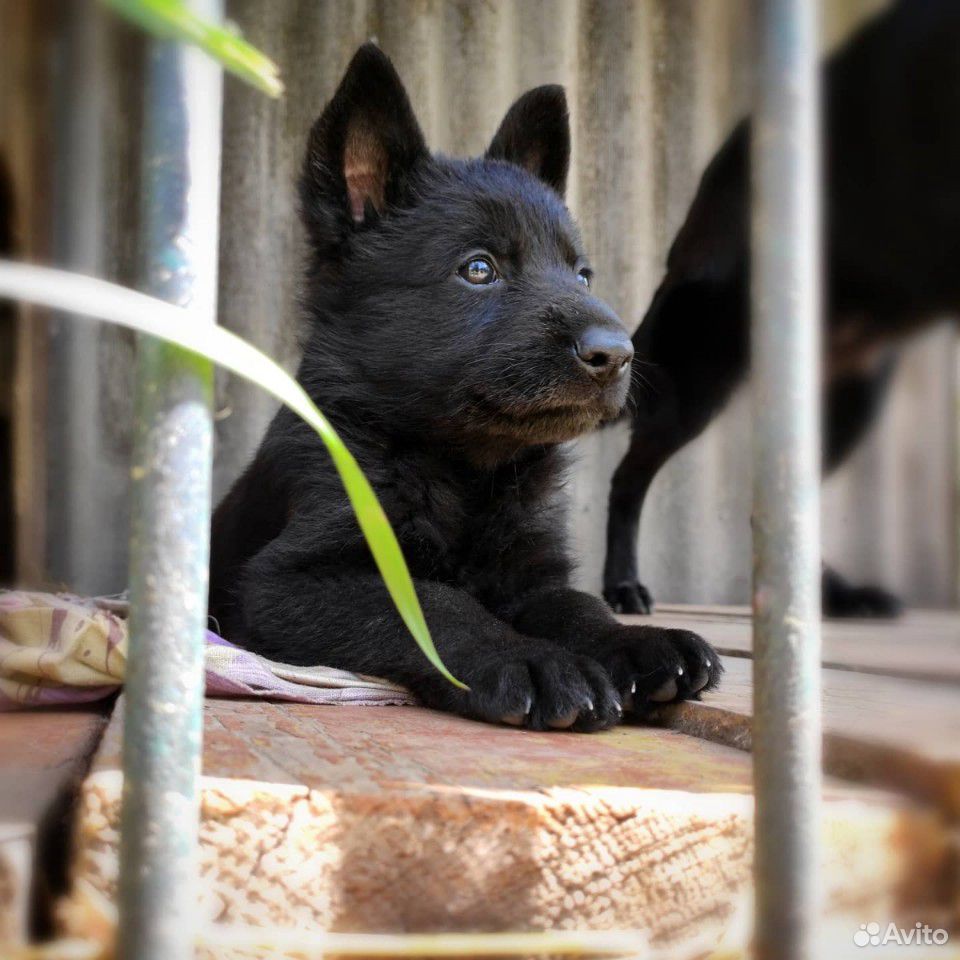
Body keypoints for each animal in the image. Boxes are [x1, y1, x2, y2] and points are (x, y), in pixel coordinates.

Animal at [210, 45, 720, 732]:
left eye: (582, 275)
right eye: (479, 269)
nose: (618, 355)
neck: (466, 471)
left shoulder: (533, 575)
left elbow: (576, 605)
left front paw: (635, 642)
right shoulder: (284, 582)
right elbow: (433, 604)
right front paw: (532, 661)